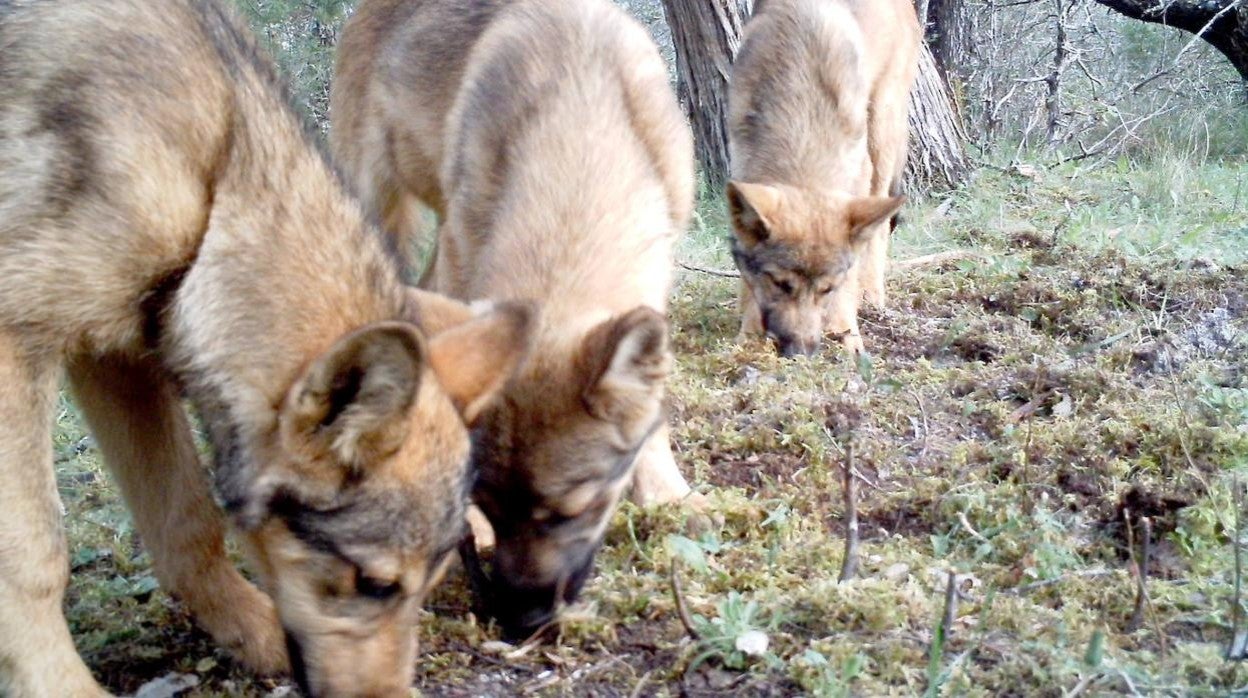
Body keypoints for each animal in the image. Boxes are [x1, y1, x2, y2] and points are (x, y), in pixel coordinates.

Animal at [0, 2, 531, 694]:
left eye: (429, 586)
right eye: (374, 584)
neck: (218, 177)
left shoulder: (119, 355)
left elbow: (188, 522)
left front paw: (253, 634)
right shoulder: (17, 340)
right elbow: (33, 560)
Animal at [728, 0, 923, 354]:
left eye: (827, 289)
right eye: (780, 284)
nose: (801, 351)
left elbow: (852, 268)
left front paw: (847, 334)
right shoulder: (740, 165)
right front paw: (749, 334)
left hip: (881, 133)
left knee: (878, 229)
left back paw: (870, 296)